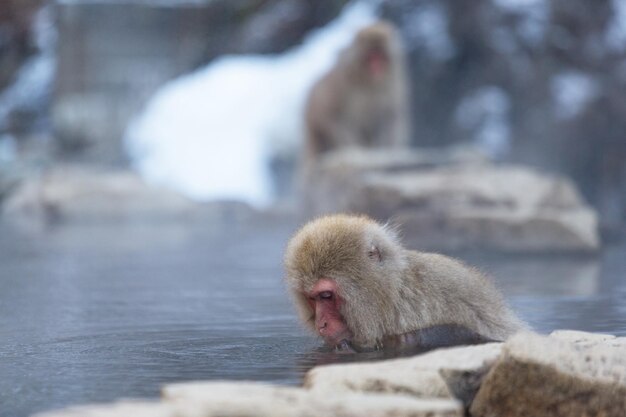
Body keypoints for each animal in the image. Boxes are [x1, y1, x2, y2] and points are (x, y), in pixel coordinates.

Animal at [302, 21, 410, 161]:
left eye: (381, 57)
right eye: (371, 57)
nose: (377, 68)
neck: (368, 81)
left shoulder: (392, 82)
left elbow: (390, 115)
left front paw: (388, 150)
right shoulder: (341, 82)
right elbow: (335, 115)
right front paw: (355, 149)